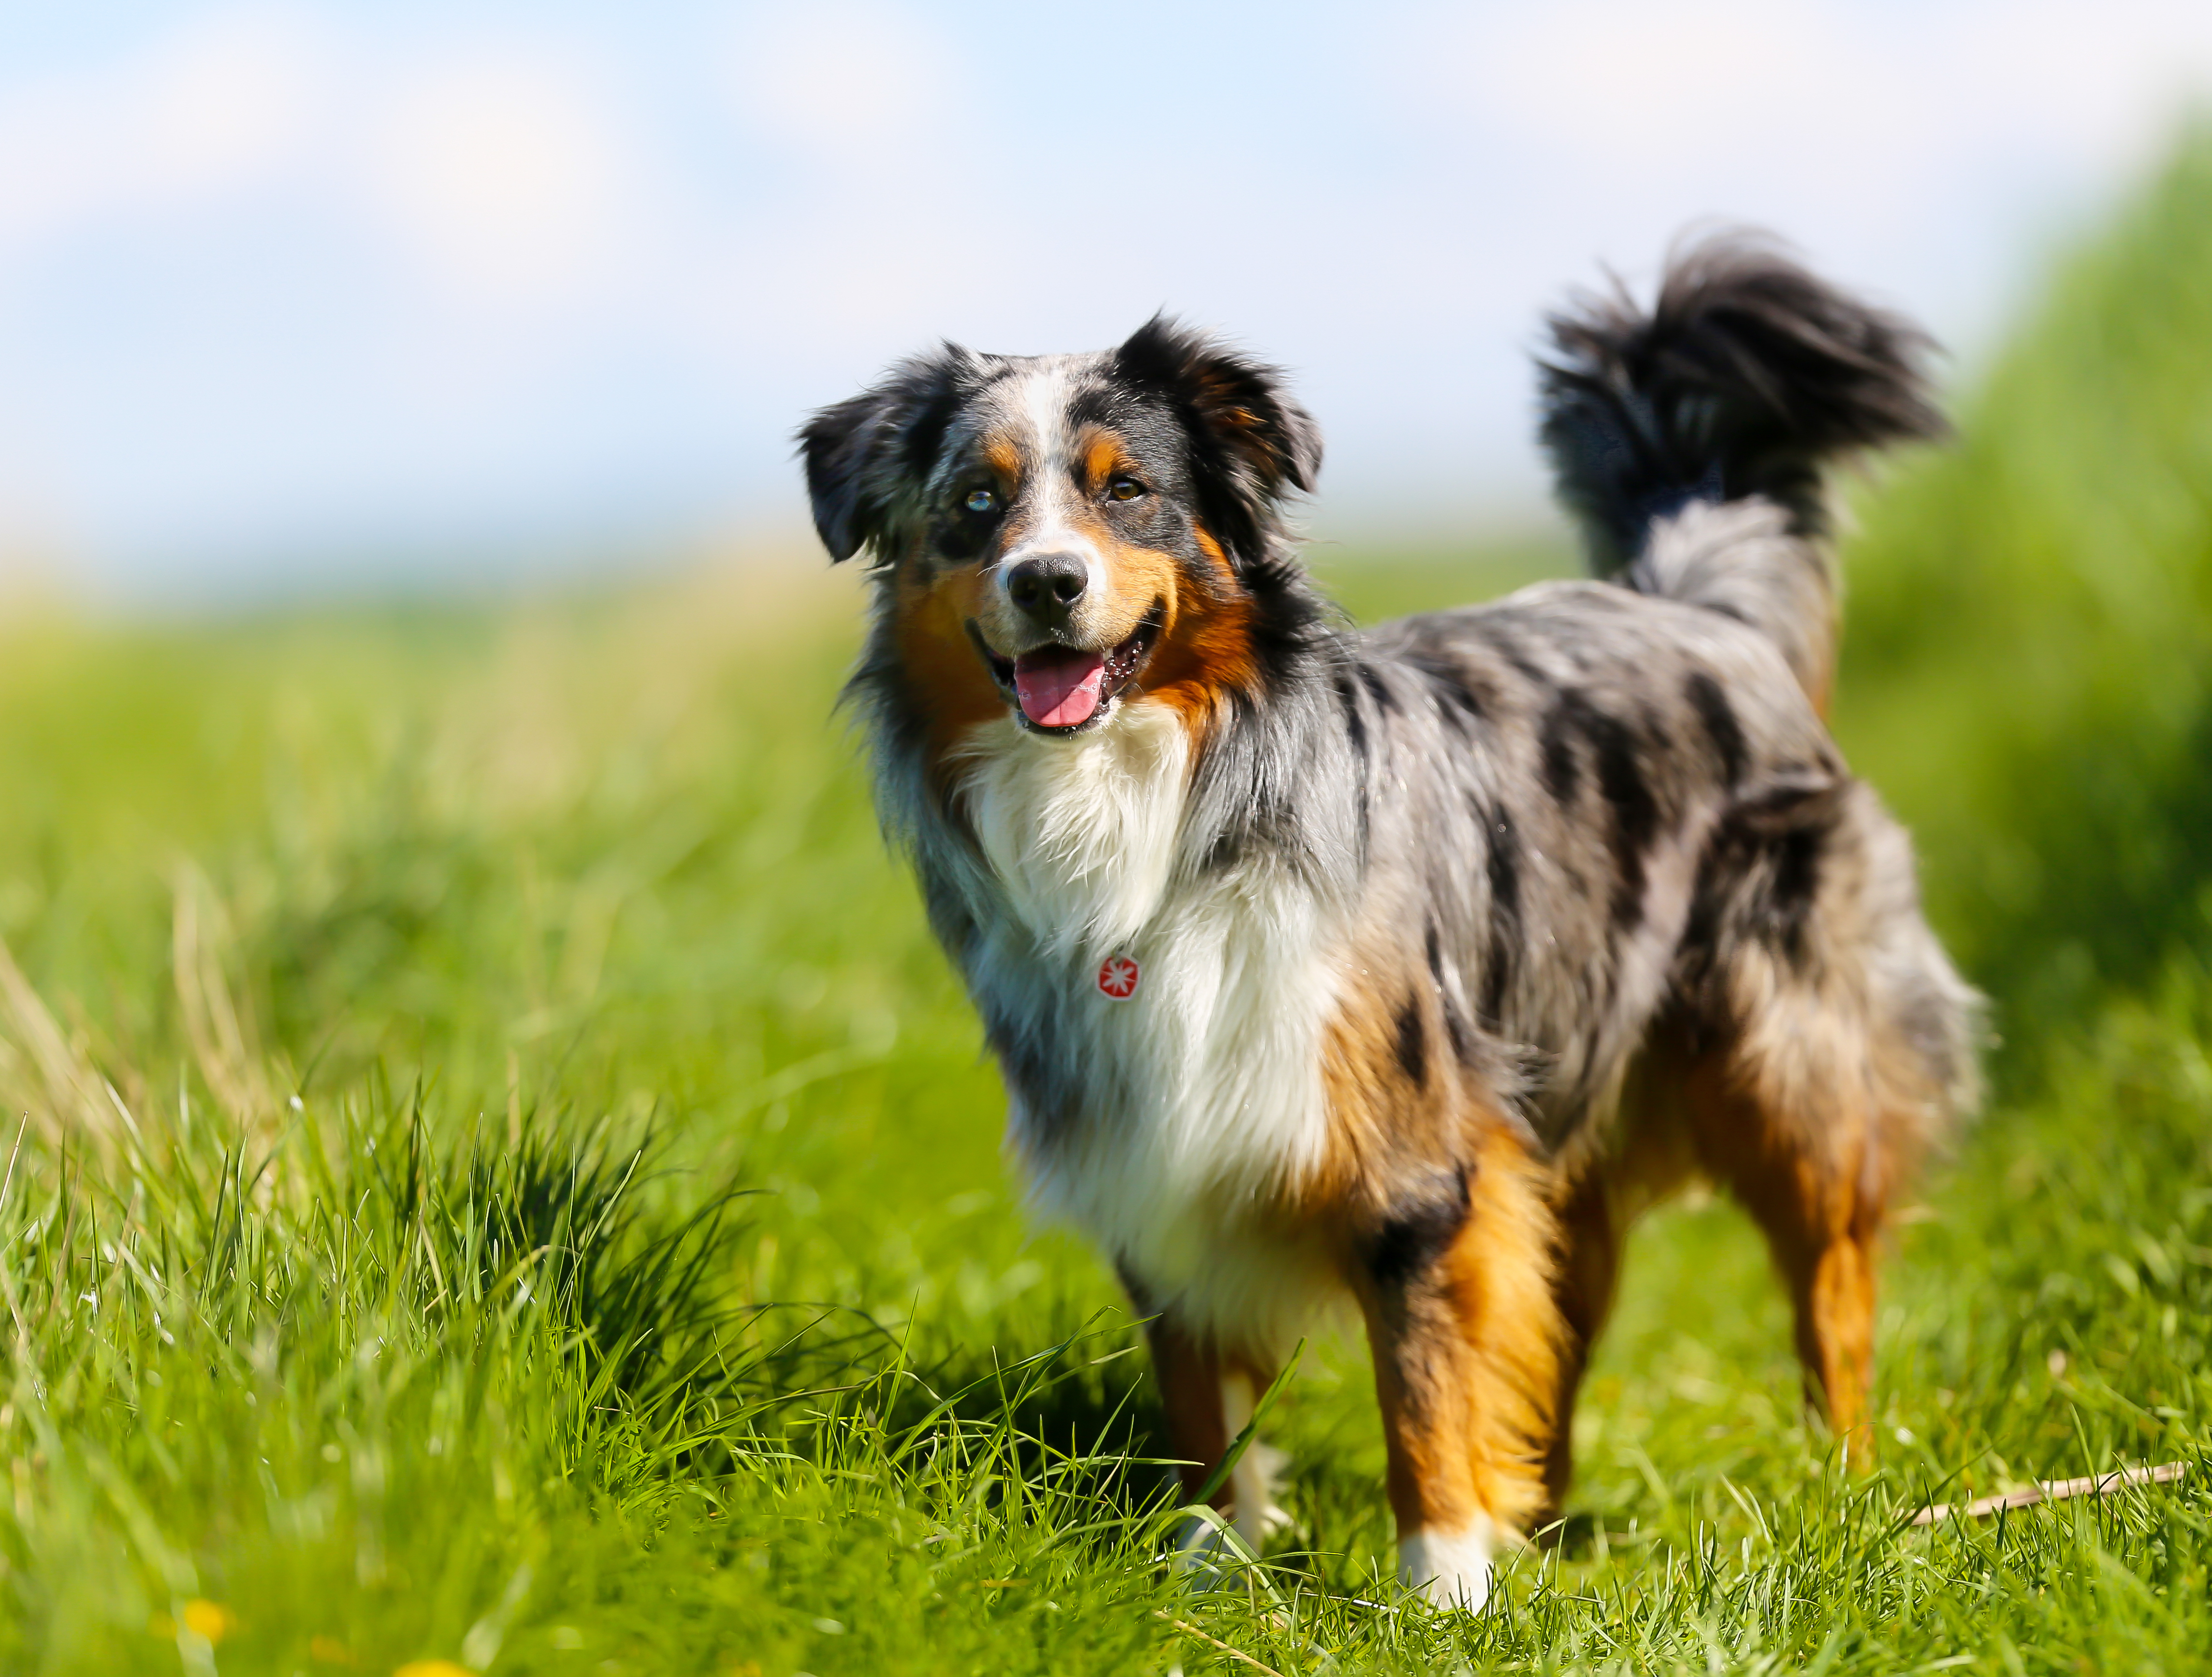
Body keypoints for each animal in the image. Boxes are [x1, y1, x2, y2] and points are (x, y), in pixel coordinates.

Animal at [805, 236, 1982, 1619]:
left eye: (1126, 490)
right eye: (977, 503)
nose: (1047, 580)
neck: (1157, 805)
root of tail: (1701, 611)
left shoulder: (1408, 1149)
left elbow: (1420, 1380)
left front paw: (1442, 1588)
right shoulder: (1145, 1144)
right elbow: (1201, 1396)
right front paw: (1210, 1568)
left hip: (1787, 1068)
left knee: (1829, 1287)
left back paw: (1840, 1493)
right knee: (1556, 1325)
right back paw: (1547, 1524)